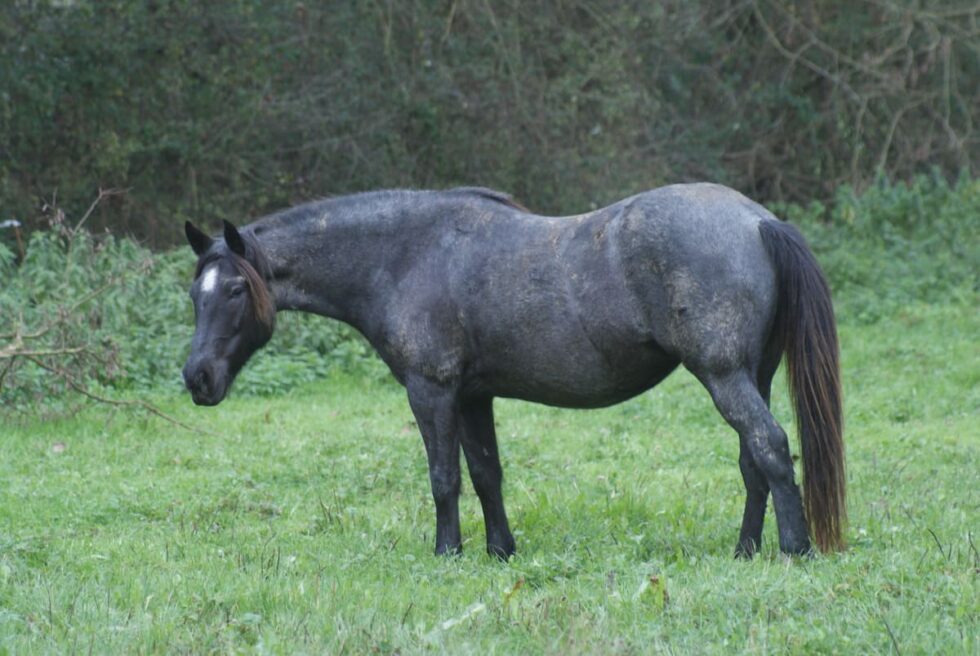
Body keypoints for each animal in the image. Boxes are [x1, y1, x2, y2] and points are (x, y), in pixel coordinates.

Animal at [182, 183, 845, 559]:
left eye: (236, 289)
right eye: (195, 293)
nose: (197, 378)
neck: (404, 255)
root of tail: (758, 220)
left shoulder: (432, 392)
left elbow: (444, 477)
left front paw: (447, 552)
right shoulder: (475, 397)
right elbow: (486, 475)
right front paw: (501, 551)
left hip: (724, 375)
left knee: (770, 446)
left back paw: (795, 550)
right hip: (753, 374)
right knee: (754, 460)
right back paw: (745, 550)